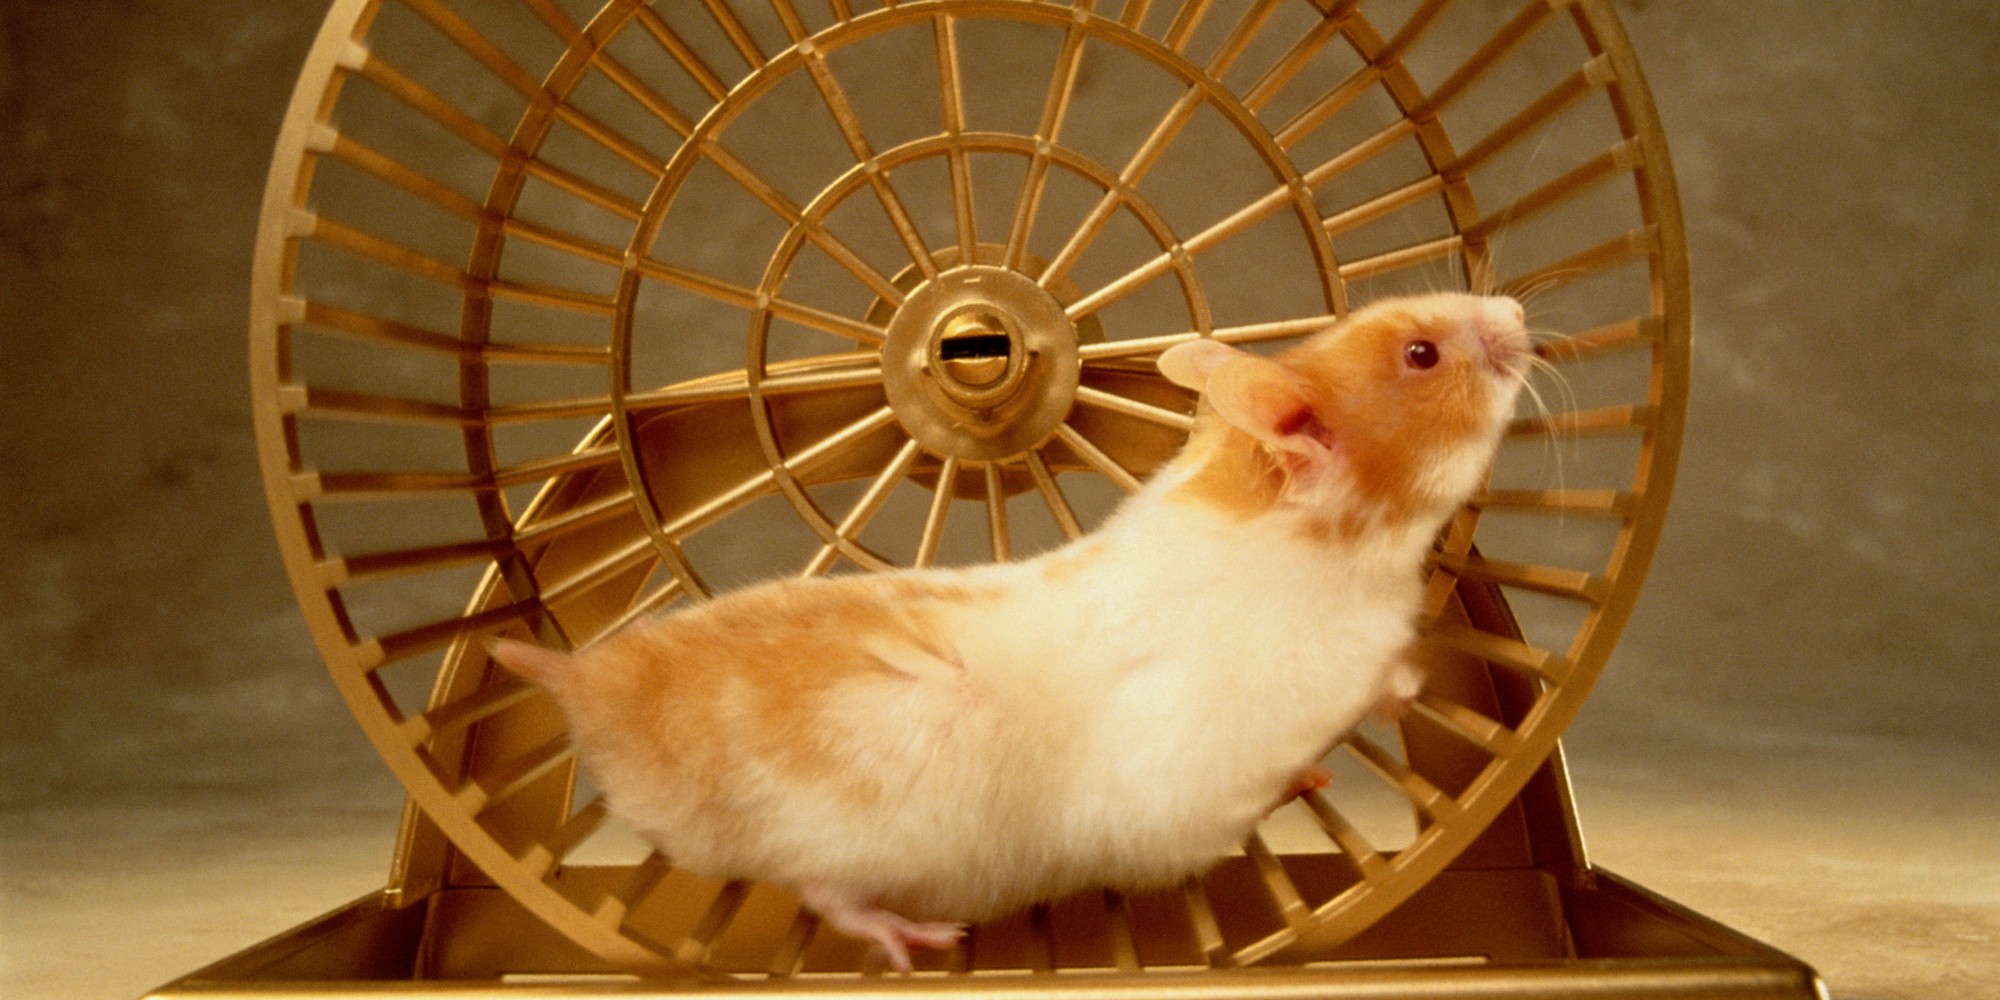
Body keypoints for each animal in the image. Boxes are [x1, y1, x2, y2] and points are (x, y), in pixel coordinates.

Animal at [488, 292, 1528, 972]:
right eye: (1422, 355)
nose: (1516, 306)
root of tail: (588, 684)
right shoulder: (1212, 776)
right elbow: (1320, 734)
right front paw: (1382, 707)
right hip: (835, 843)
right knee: (826, 895)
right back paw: (917, 939)